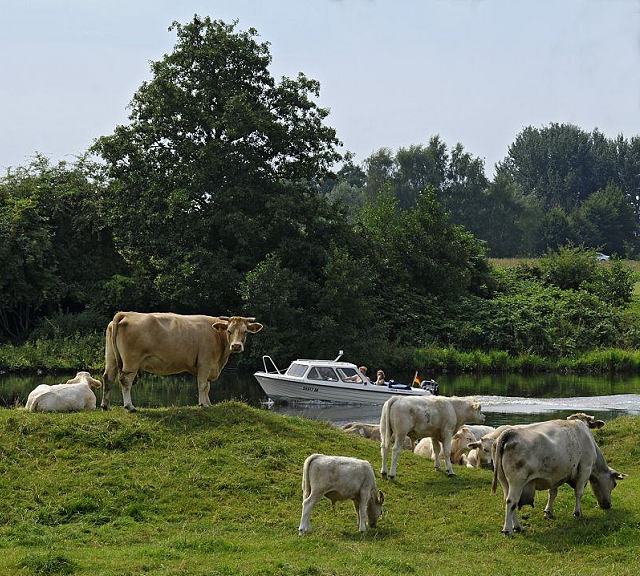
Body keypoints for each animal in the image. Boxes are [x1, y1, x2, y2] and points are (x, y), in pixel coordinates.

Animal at [101, 312, 262, 412]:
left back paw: (105, 405)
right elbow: (203, 385)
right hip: (131, 361)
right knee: (125, 380)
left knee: (108, 378)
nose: (236, 346)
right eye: (229, 330)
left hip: (111, 358)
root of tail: (125, 314)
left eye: (245, 332)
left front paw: (209, 403)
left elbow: (208, 387)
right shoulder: (205, 363)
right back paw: (130, 406)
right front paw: (203, 404)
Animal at [490, 418, 624, 536]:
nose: (607, 505)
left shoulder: (556, 475)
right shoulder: (585, 469)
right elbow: (579, 493)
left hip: (504, 481)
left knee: (509, 501)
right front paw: (577, 513)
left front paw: (548, 512)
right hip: (517, 481)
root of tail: (509, 433)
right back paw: (508, 530)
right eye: (614, 484)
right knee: (511, 501)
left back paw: (517, 527)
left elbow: (552, 493)